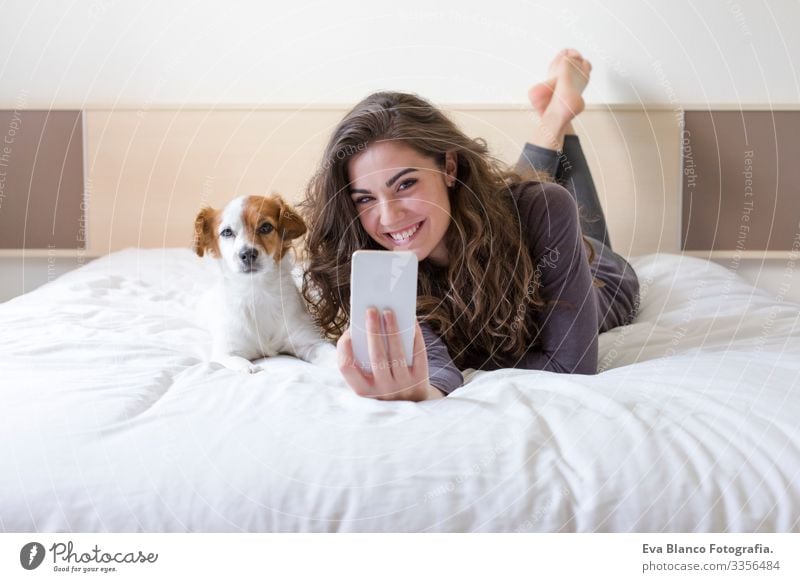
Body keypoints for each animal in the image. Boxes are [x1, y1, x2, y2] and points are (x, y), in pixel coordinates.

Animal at [195, 194, 336, 372]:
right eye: (227, 232)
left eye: (265, 227)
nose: (247, 254)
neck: (258, 290)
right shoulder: (227, 352)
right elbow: (244, 365)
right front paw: (251, 369)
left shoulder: (311, 342)